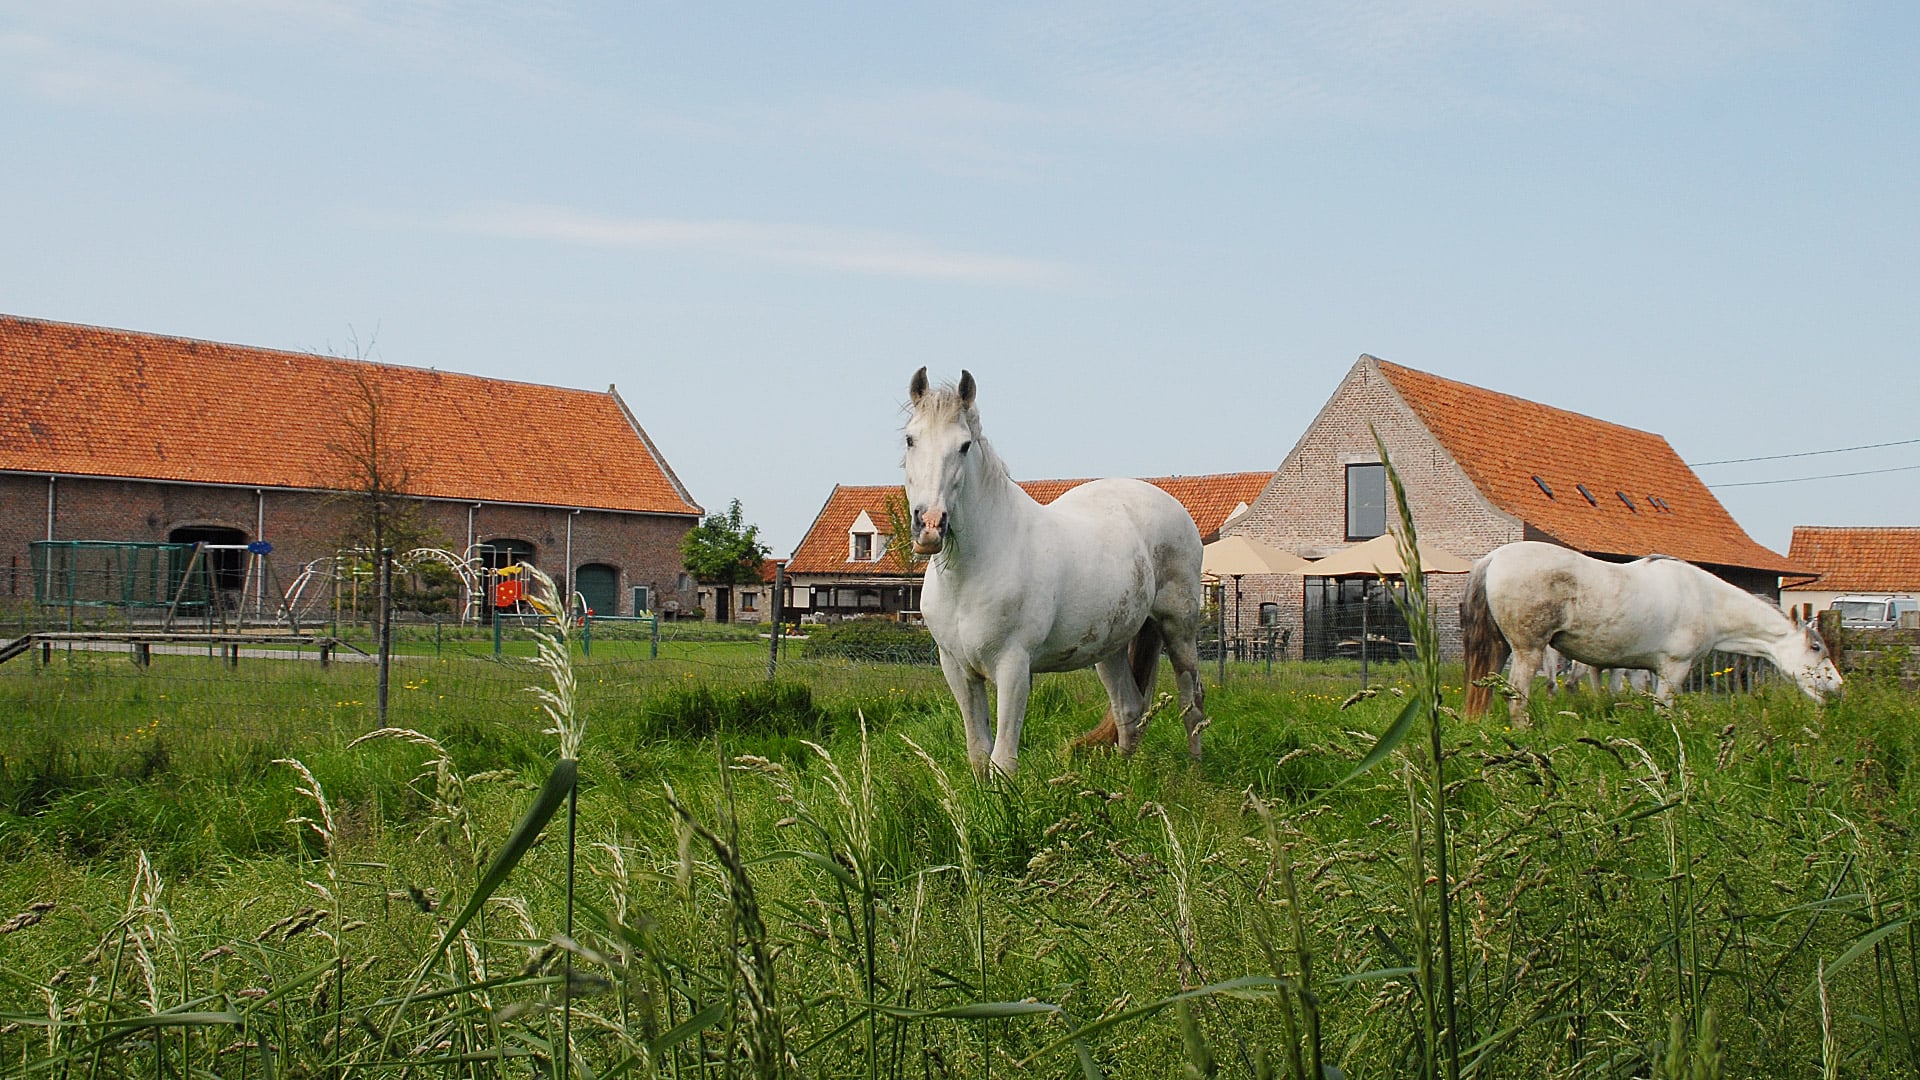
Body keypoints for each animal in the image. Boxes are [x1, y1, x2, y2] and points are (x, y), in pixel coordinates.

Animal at [902, 368, 1213, 772]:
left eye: (964, 446)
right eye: (910, 439)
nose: (929, 525)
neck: (971, 572)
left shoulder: (1014, 666)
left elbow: (1003, 759)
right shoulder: (957, 669)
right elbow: (979, 753)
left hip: (1179, 630)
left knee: (1192, 703)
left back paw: (1194, 772)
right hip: (1111, 647)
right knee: (1129, 709)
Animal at [1466, 538, 1843, 722]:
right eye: (1816, 648)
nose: (1838, 688)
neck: (1706, 599)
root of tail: (1494, 558)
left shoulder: (1643, 671)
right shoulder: (1674, 669)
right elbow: (1665, 712)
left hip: (1501, 649)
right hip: (1528, 651)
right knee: (1516, 698)